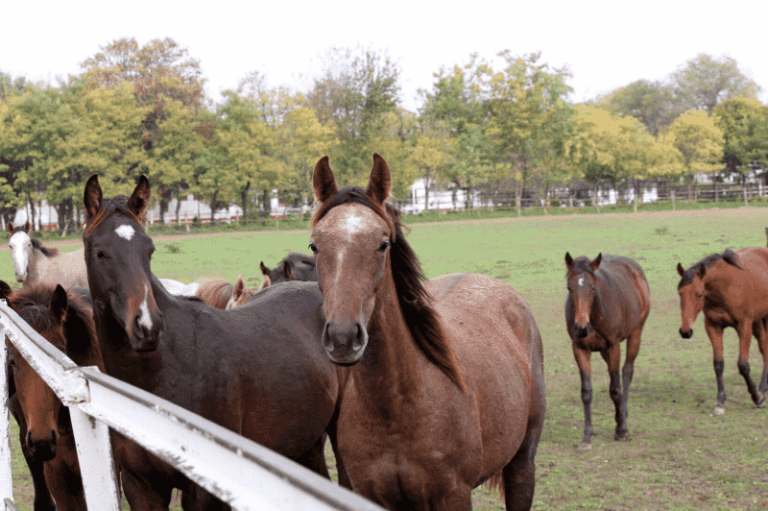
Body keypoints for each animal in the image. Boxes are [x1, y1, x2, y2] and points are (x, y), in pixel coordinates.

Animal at [81, 174, 347, 510]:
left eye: (149, 250)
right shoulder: (140, 485)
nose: (147, 326)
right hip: (305, 444)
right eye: (100, 252)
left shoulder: (204, 492)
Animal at [309, 154, 546, 511]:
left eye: (383, 244)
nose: (343, 338)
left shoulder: (454, 495)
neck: (395, 408)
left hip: (522, 465)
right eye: (314, 246)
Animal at [564, 252, 650, 451]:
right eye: (569, 288)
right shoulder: (580, 348)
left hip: (635, 333)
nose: (581, 327)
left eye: (593, 288)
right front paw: (586, 437)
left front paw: (622, 430)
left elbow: (615, 389)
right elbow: (586, 392)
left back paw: (623, 414)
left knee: (626, 372)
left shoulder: (613, 346)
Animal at [677, 247, 768, 415]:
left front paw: (756, 397)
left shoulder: (744, 326)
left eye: (700, 294)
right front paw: (720, 402)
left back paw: (762, 391)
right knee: (765, 348)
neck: (725, 287)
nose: (686, 331)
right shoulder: (713, 326)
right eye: (680, 293)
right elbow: (718, 364)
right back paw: (763, 388)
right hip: (758, 322)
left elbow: (743, 365)